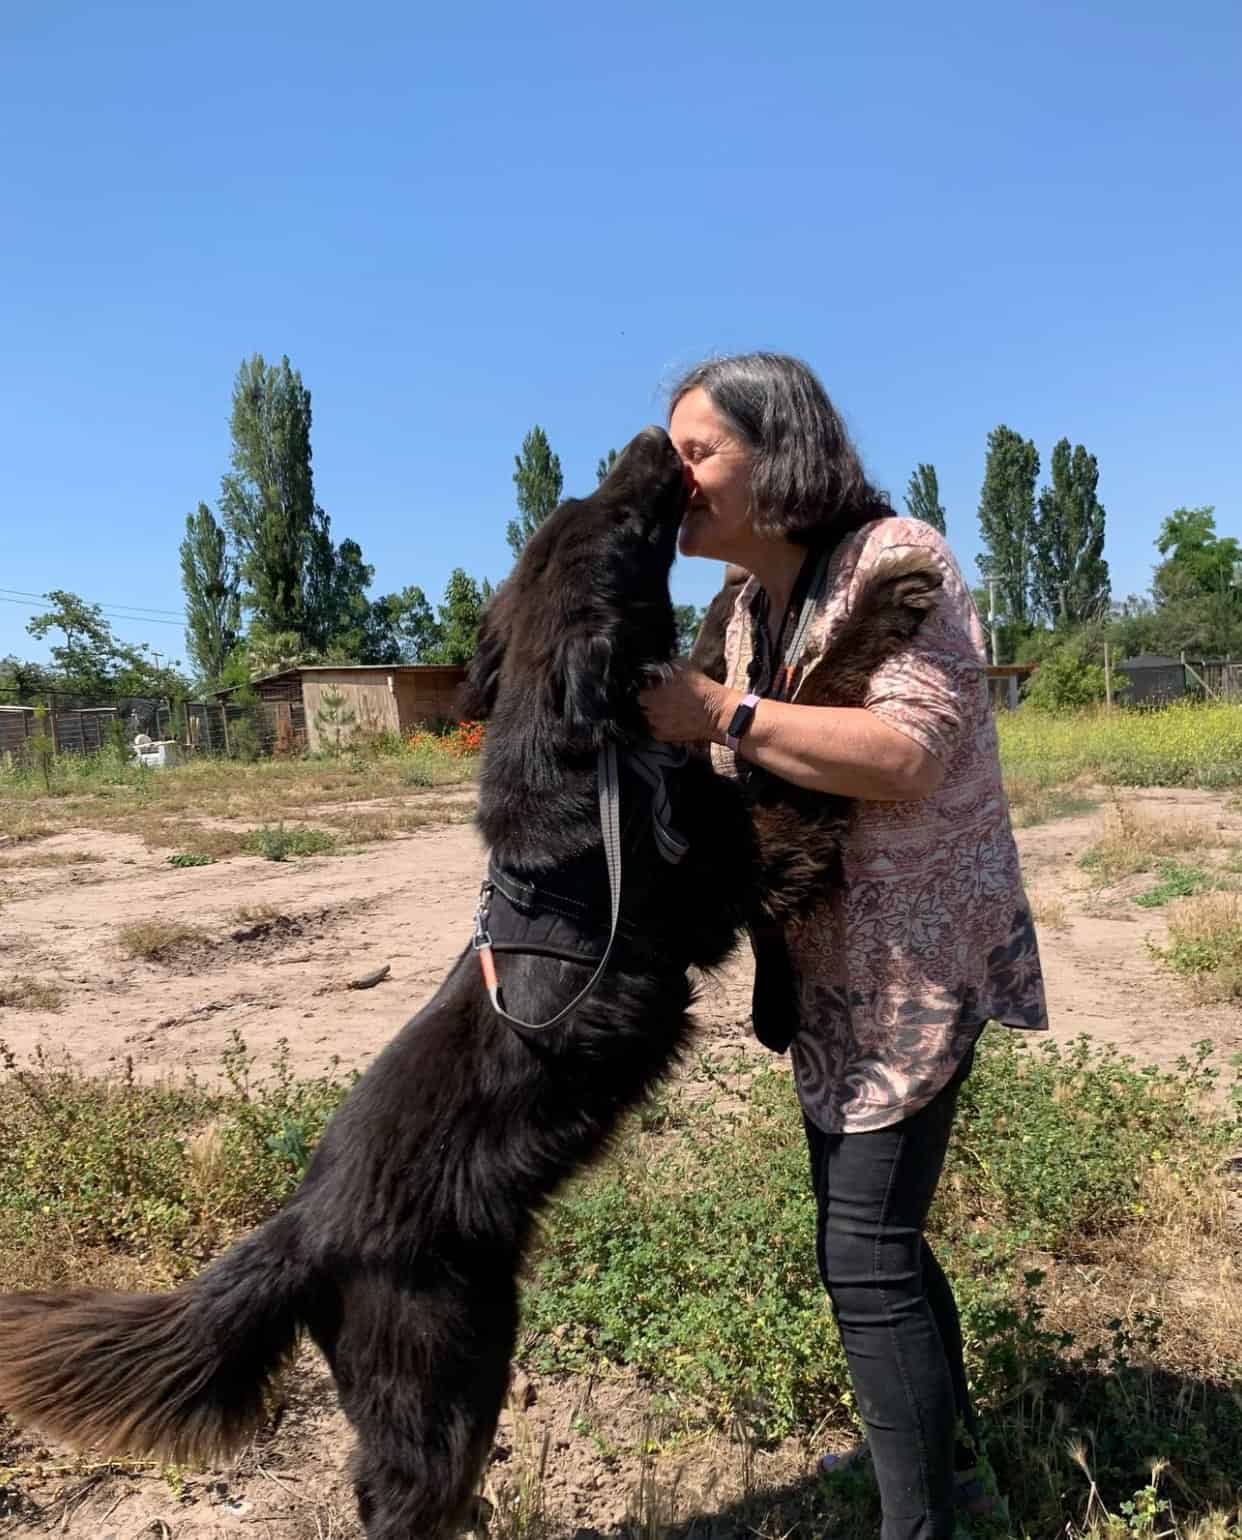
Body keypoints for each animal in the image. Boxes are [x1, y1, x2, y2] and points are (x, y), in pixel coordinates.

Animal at [0, 425, 943, 1540]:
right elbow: (812, 708)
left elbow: (725, 678)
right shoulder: (742, 864)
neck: (585, 760)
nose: (655, 439)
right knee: (403, 1500)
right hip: (441, 1374)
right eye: (622, 524)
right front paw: (889, 597)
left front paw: (726, 616)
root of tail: (302, 1230)